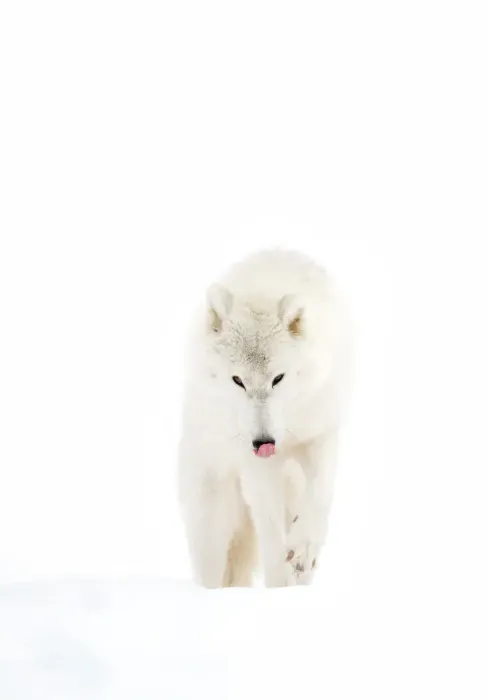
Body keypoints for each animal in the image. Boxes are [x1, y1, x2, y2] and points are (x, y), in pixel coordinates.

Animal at [178, 249, 352, 587]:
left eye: (278, 378)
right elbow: (271, 532)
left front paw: (304, 550)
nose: (263, 441)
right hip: (212, 518)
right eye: (238, 381)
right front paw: (279, 584)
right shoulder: (256, 465)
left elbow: (320, 495)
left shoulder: (321, 434)